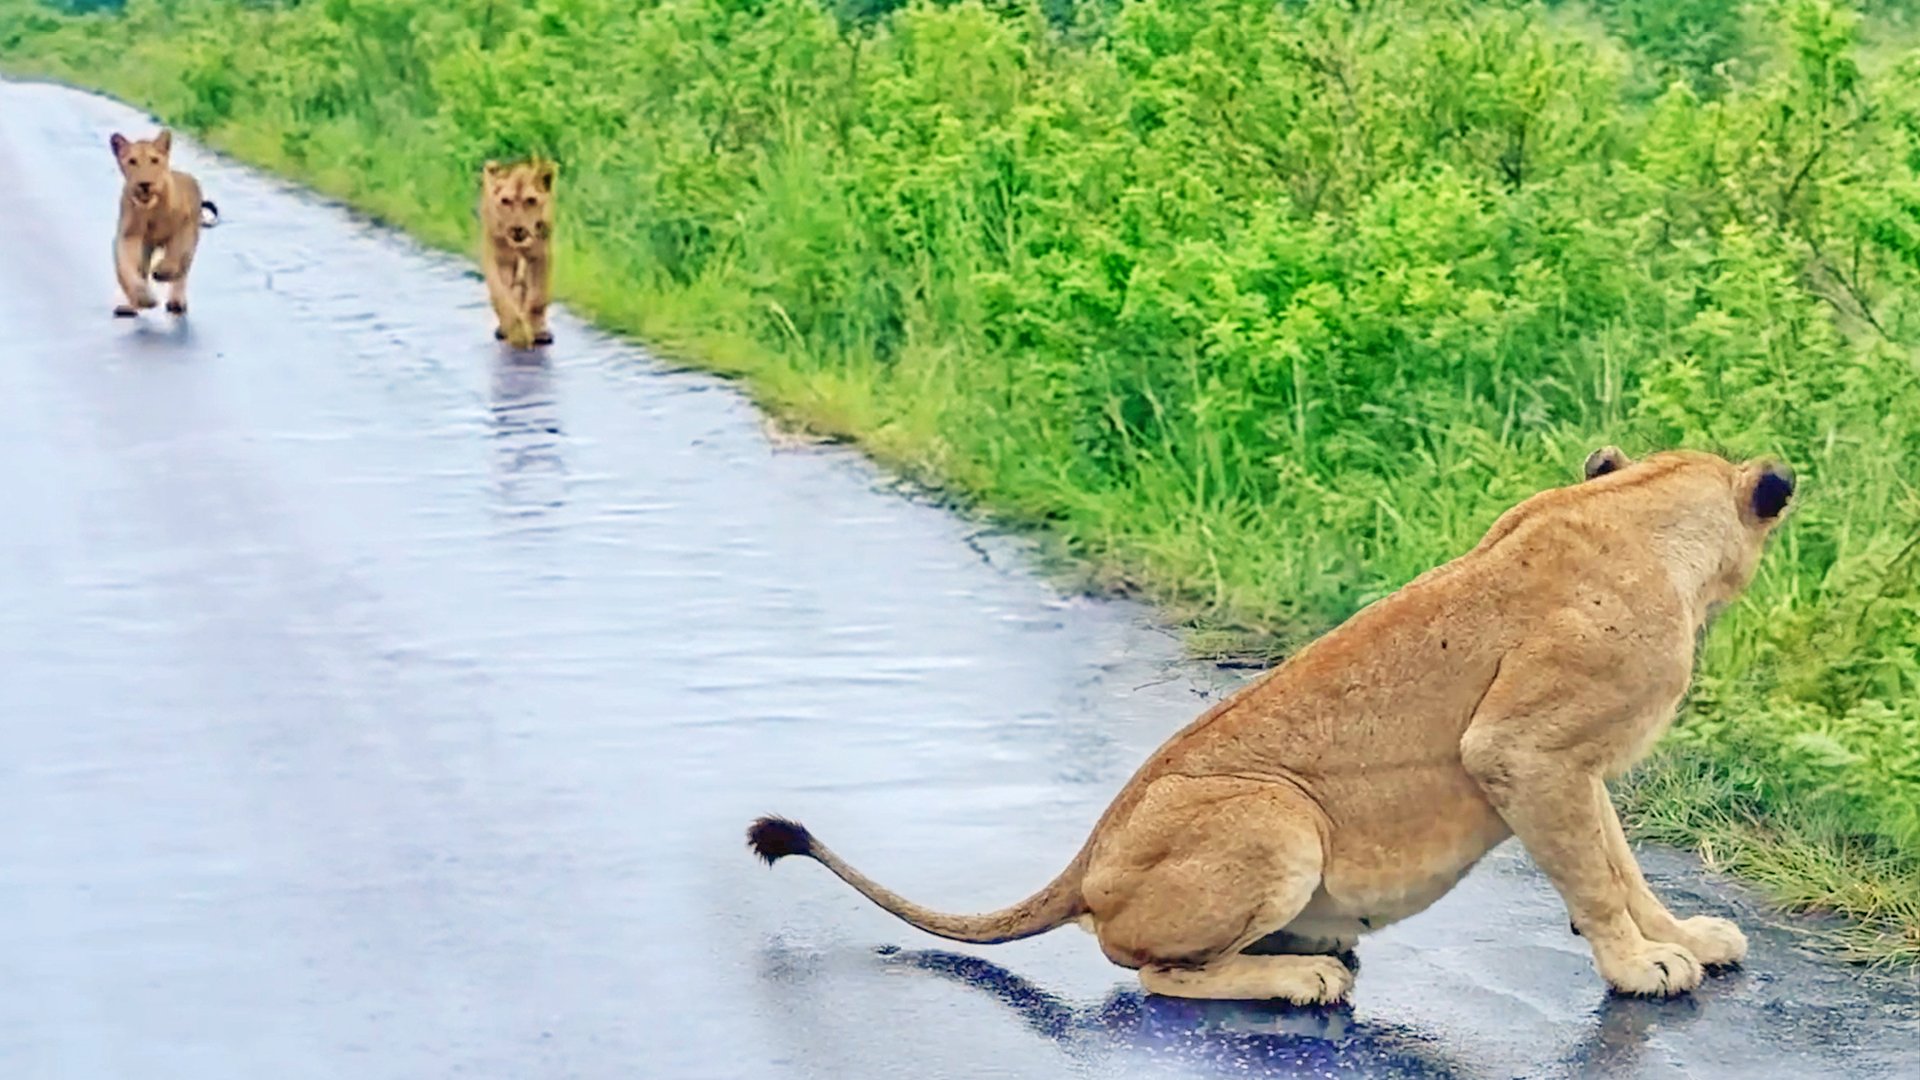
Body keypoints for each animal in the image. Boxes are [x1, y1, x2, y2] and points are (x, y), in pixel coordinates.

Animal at [109, 129, 219, 318]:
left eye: (154, 160)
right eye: (132, 161)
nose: (145, 184)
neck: (151, 210)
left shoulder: (184, 228)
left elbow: (175, 252)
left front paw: (163, 272)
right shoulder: (128, 236)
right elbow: (126, 268)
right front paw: (144, 299)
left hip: (191, 239)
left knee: (183, 271)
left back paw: (176, 301)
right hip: (146, 248)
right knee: (142, 270)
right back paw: (131, 307)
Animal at [479, 158, 557, 349]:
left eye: (531, 200)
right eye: (505, 201)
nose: (517, 229)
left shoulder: (540, 255)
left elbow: (537, 298)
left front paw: (535, 331)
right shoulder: (500, 258)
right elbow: (503, 297)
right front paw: (518, 334)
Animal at [749, 447, 1797, 1003]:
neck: (1640, 509)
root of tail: (1085, 864)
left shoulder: (1576, 767)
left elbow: (1621, 866)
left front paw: (1684, 937)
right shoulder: (1520, 751)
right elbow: (1593, 878)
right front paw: (1639, 967)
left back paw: (1312, 949)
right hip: (1279, 815)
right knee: (1145, 970)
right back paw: (1299, 980)